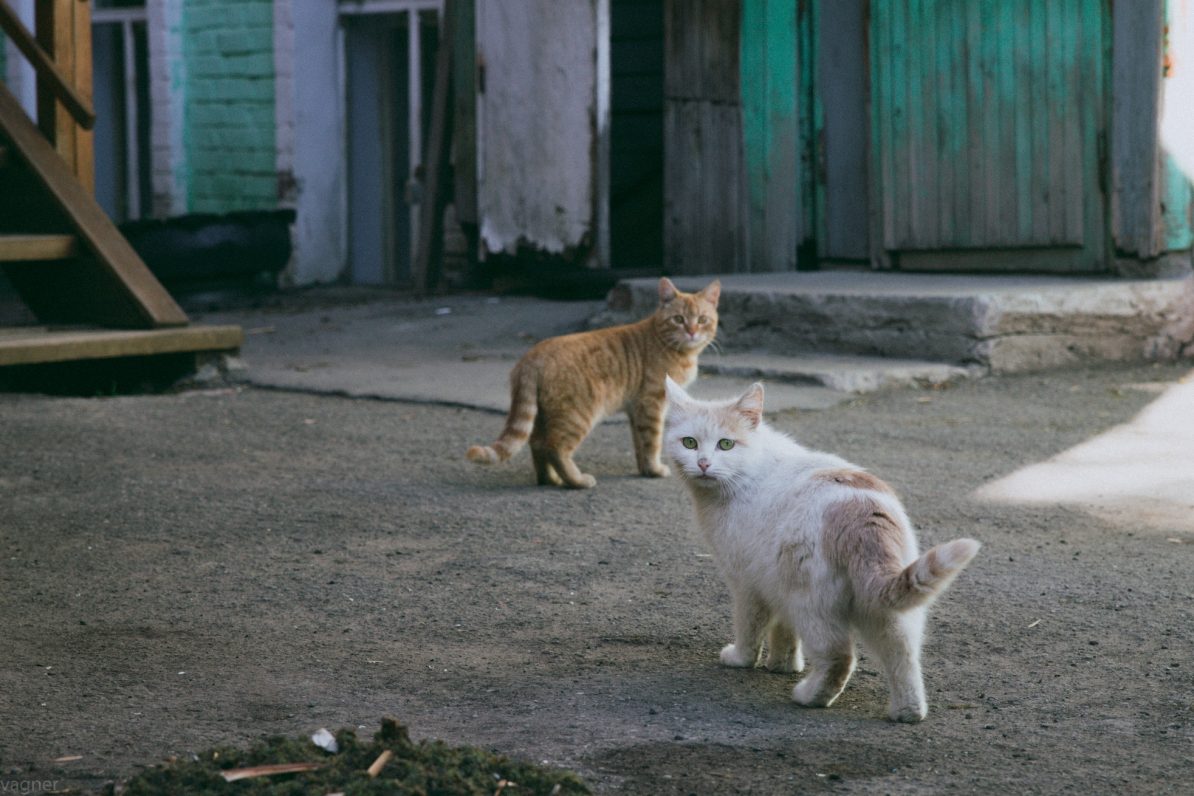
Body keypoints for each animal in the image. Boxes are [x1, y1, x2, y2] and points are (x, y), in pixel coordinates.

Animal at [468, 276, 721, 489]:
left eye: (702, 320)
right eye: (679, 319)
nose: (692, 332)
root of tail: (533, 354)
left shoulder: (636, 409)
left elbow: (640, 443)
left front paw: (644, 470)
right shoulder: (652, 403)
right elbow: (653, 441)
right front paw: (655, 469)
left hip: (543, 415)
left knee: (537, 443)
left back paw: (549, 479)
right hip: (577, 414)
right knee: (554, 447)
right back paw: (577, 480)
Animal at [663, 379, 979, 720]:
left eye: (726, 445)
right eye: (690, 443)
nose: (703, 463)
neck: (749, 470)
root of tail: (861, 512)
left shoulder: (747, 585)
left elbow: (750, 629)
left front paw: (742, 659)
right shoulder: (774, 586)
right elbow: (784, 634)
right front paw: (783, 665)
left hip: (812, 604)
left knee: (839, 657)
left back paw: (810, 696)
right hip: (887, 615)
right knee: (904, 659)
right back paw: (906, 712)